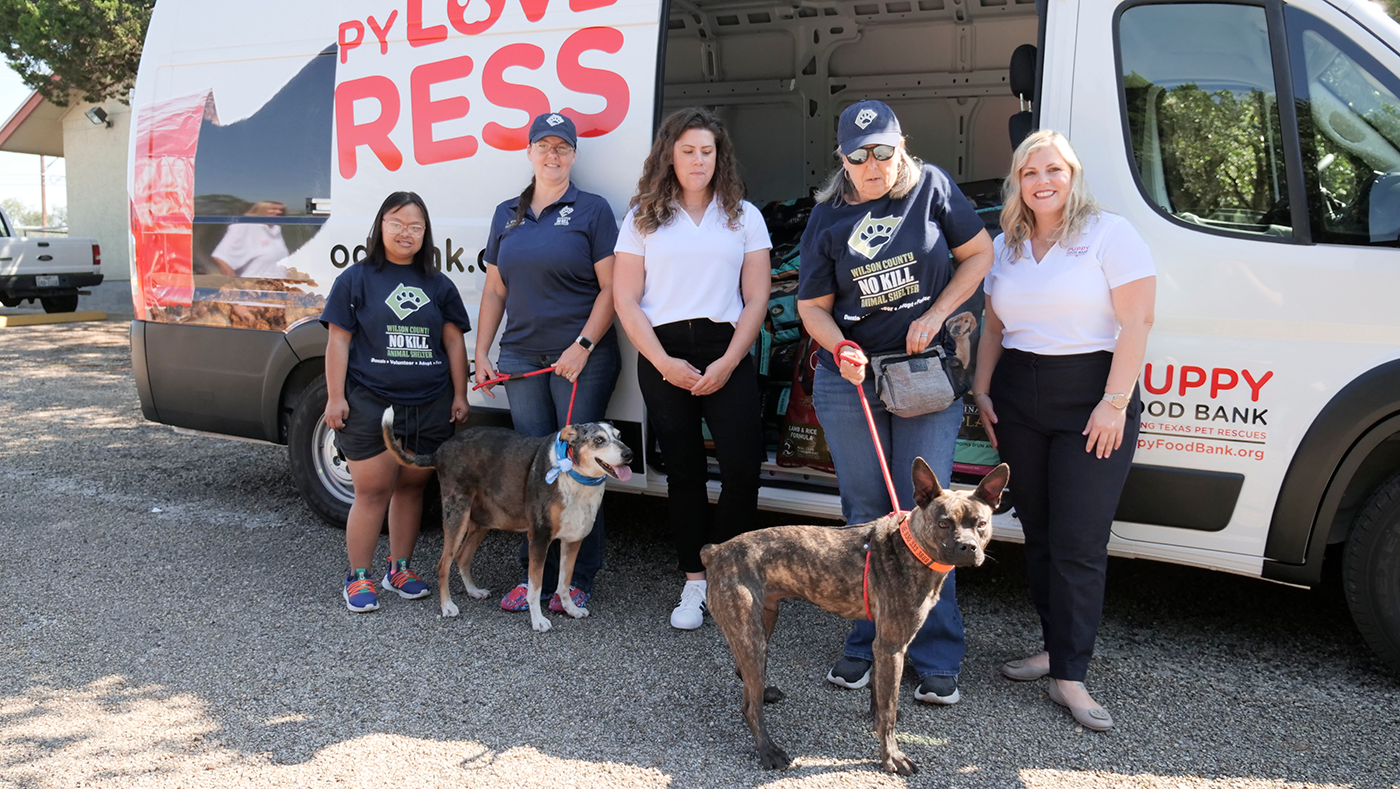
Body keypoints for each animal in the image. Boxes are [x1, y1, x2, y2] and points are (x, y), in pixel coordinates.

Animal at [700, 458, 1008, 772]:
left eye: (981, 524)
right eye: (943, 523)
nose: (967, 547)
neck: (910, 547)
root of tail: (716, 550)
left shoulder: (881, 644)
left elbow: (880, 695)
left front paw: (876, 718)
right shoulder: (892, 647)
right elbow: (888, 711)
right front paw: (891, 755)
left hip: (764, 622)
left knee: (744, 675)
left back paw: (764, 693)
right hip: (752, 637)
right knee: (750, 706)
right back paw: (768, 750)